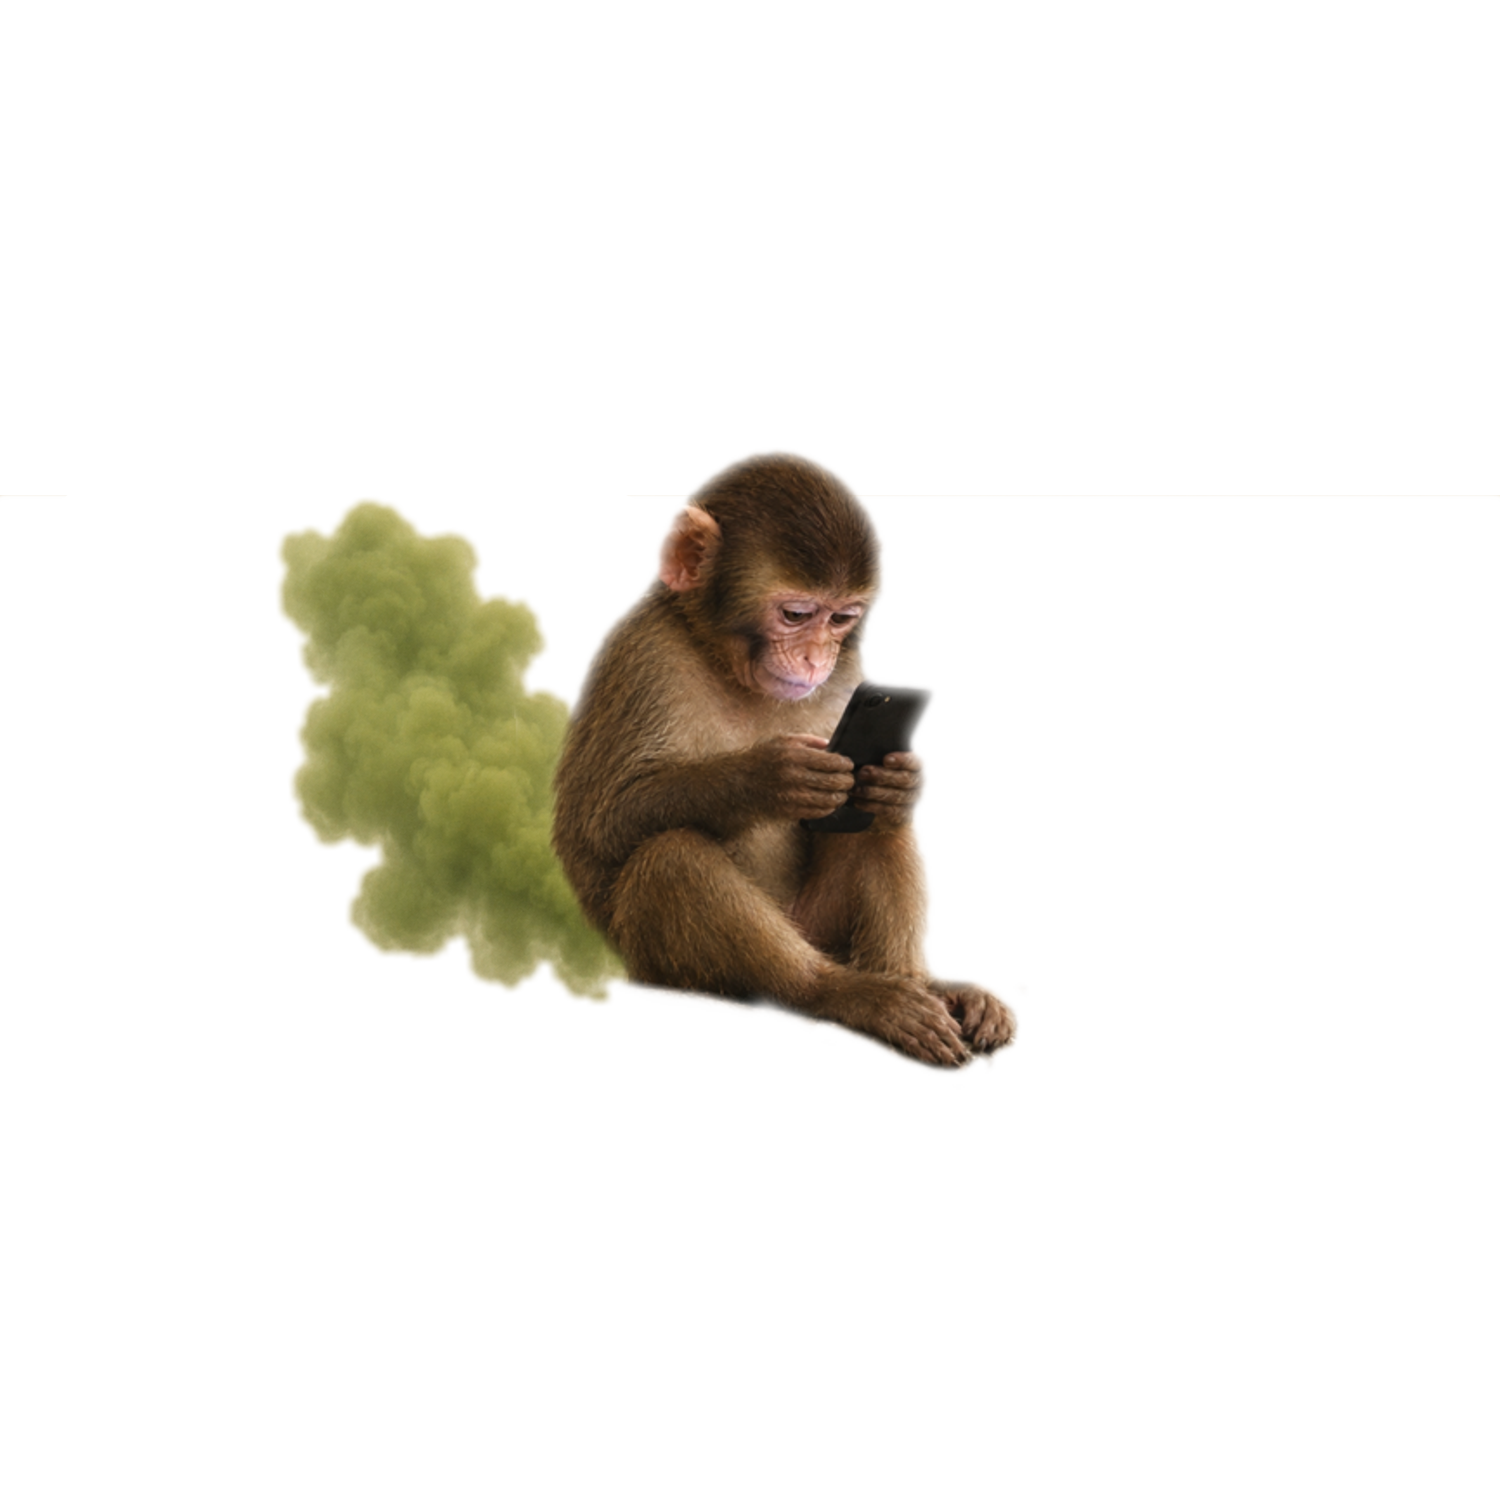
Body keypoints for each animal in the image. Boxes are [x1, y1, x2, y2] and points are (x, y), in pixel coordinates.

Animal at [551, 447, 1019, 1070]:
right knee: (671, 856)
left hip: (821, 924)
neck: (721, 658)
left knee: (879, 823)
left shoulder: (852, 674)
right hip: (668, 966)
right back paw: (840, 992)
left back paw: (925, 982)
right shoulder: (636, 653)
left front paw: (909, 777)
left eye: (842, 619)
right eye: (796, 615)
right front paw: (769, 776)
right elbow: (601, 824)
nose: (816, 658)